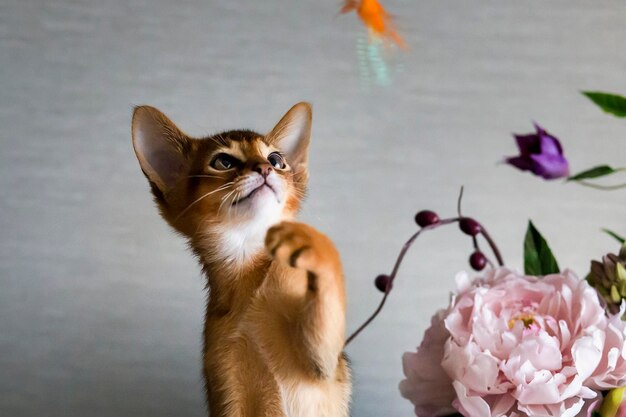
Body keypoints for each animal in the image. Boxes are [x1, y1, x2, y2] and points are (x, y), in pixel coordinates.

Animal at [130, 101, 352, 416]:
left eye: (276, 159)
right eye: (223, 162)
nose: (265, 168)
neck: (247, 277)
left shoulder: (322, 362)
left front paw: (306, 238)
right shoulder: (226, 387)